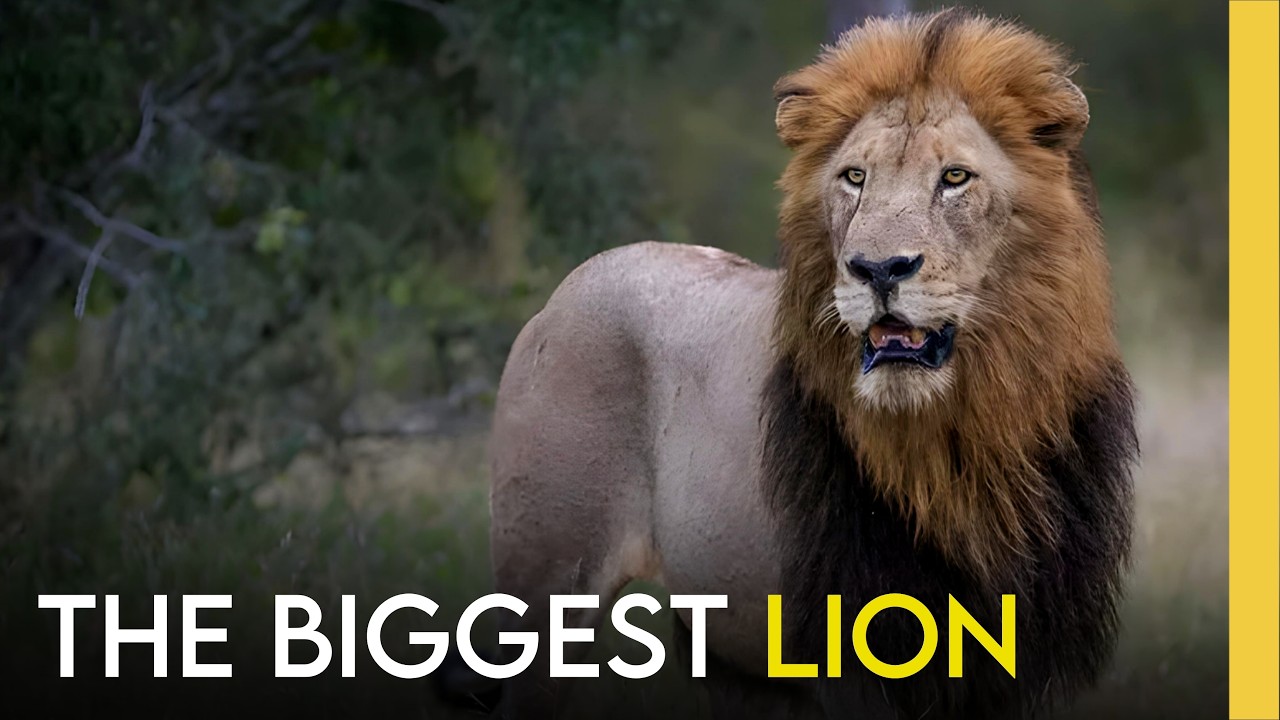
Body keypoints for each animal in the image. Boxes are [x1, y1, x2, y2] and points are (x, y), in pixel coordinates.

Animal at [485, 9, 1137, 720]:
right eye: (855, 178)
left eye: (955, 178)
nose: (878, 268)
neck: (961, 437)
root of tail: (565, 290)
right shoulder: (854, 653)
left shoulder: (1026, 662)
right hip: (546, 584)